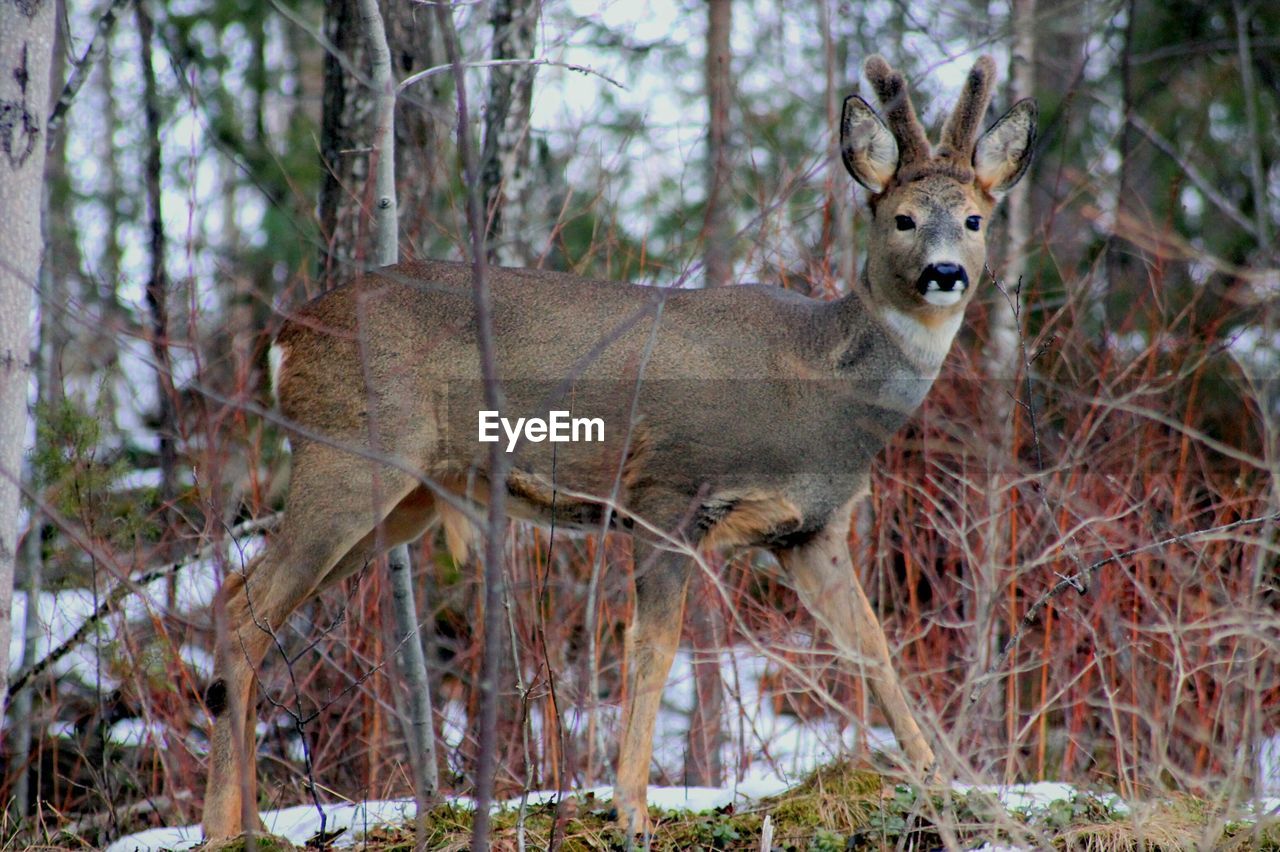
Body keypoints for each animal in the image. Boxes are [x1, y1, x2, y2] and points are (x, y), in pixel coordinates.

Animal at [202, 54, 1039, 844]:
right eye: (902, 218)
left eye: (974, 219)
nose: (945, 273)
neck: (819, 383)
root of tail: (284, 340)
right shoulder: (667, 491)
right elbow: (653, 648)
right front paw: (631, 809)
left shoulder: (810, 529)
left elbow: (872, 648)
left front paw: (941, 783)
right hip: (350, 455)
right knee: (245, 609)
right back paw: (225, 830)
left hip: (405, 496)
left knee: (243, 599)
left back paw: (247, 824)